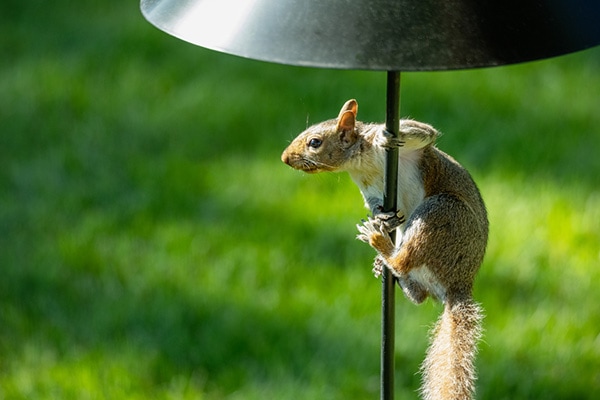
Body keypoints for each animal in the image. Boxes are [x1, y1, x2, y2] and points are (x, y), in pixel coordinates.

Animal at [282, 98, 488, 398]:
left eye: (315, 142)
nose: (285, 158)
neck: (360, 163)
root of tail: (460, 284)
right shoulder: (369, 189)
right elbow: (376, 204)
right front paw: (382, 216)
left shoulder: (413, 147)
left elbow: (424, 132)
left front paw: (383, 136)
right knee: (418, 292)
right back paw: (387, 265)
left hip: (441, 213)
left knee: (406, 260)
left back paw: (380, 244)